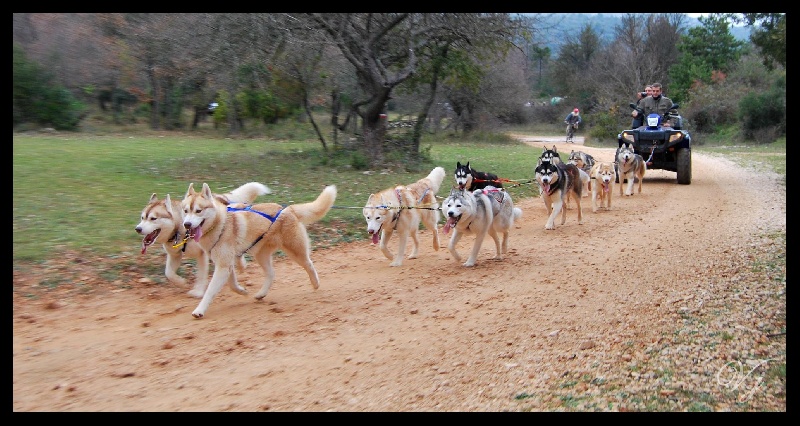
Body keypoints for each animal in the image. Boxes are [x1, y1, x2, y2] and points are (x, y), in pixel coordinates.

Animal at [132, 181, 268, 298]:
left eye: (153, 218)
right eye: (142, 217)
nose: (137, 229)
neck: (179, 230)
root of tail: (219, 196)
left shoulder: (202, 254)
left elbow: (201, 274)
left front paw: (198, 291)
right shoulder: (174, 255)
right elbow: (168, 273)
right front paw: (181, 282)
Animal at [183, 181, 336, 318]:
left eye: (198, 211)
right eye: (185, 211)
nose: (186, 224)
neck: (220, 224)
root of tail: (288, 208)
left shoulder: (223, 265)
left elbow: (210, 291)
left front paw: (199, 310)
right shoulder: (225, 264)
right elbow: (232, 285)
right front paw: (243, 291)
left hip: (295, 251)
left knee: (309, 264)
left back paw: (315, 283)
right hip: (261, 255)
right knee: (271, 273)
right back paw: (261, 293)